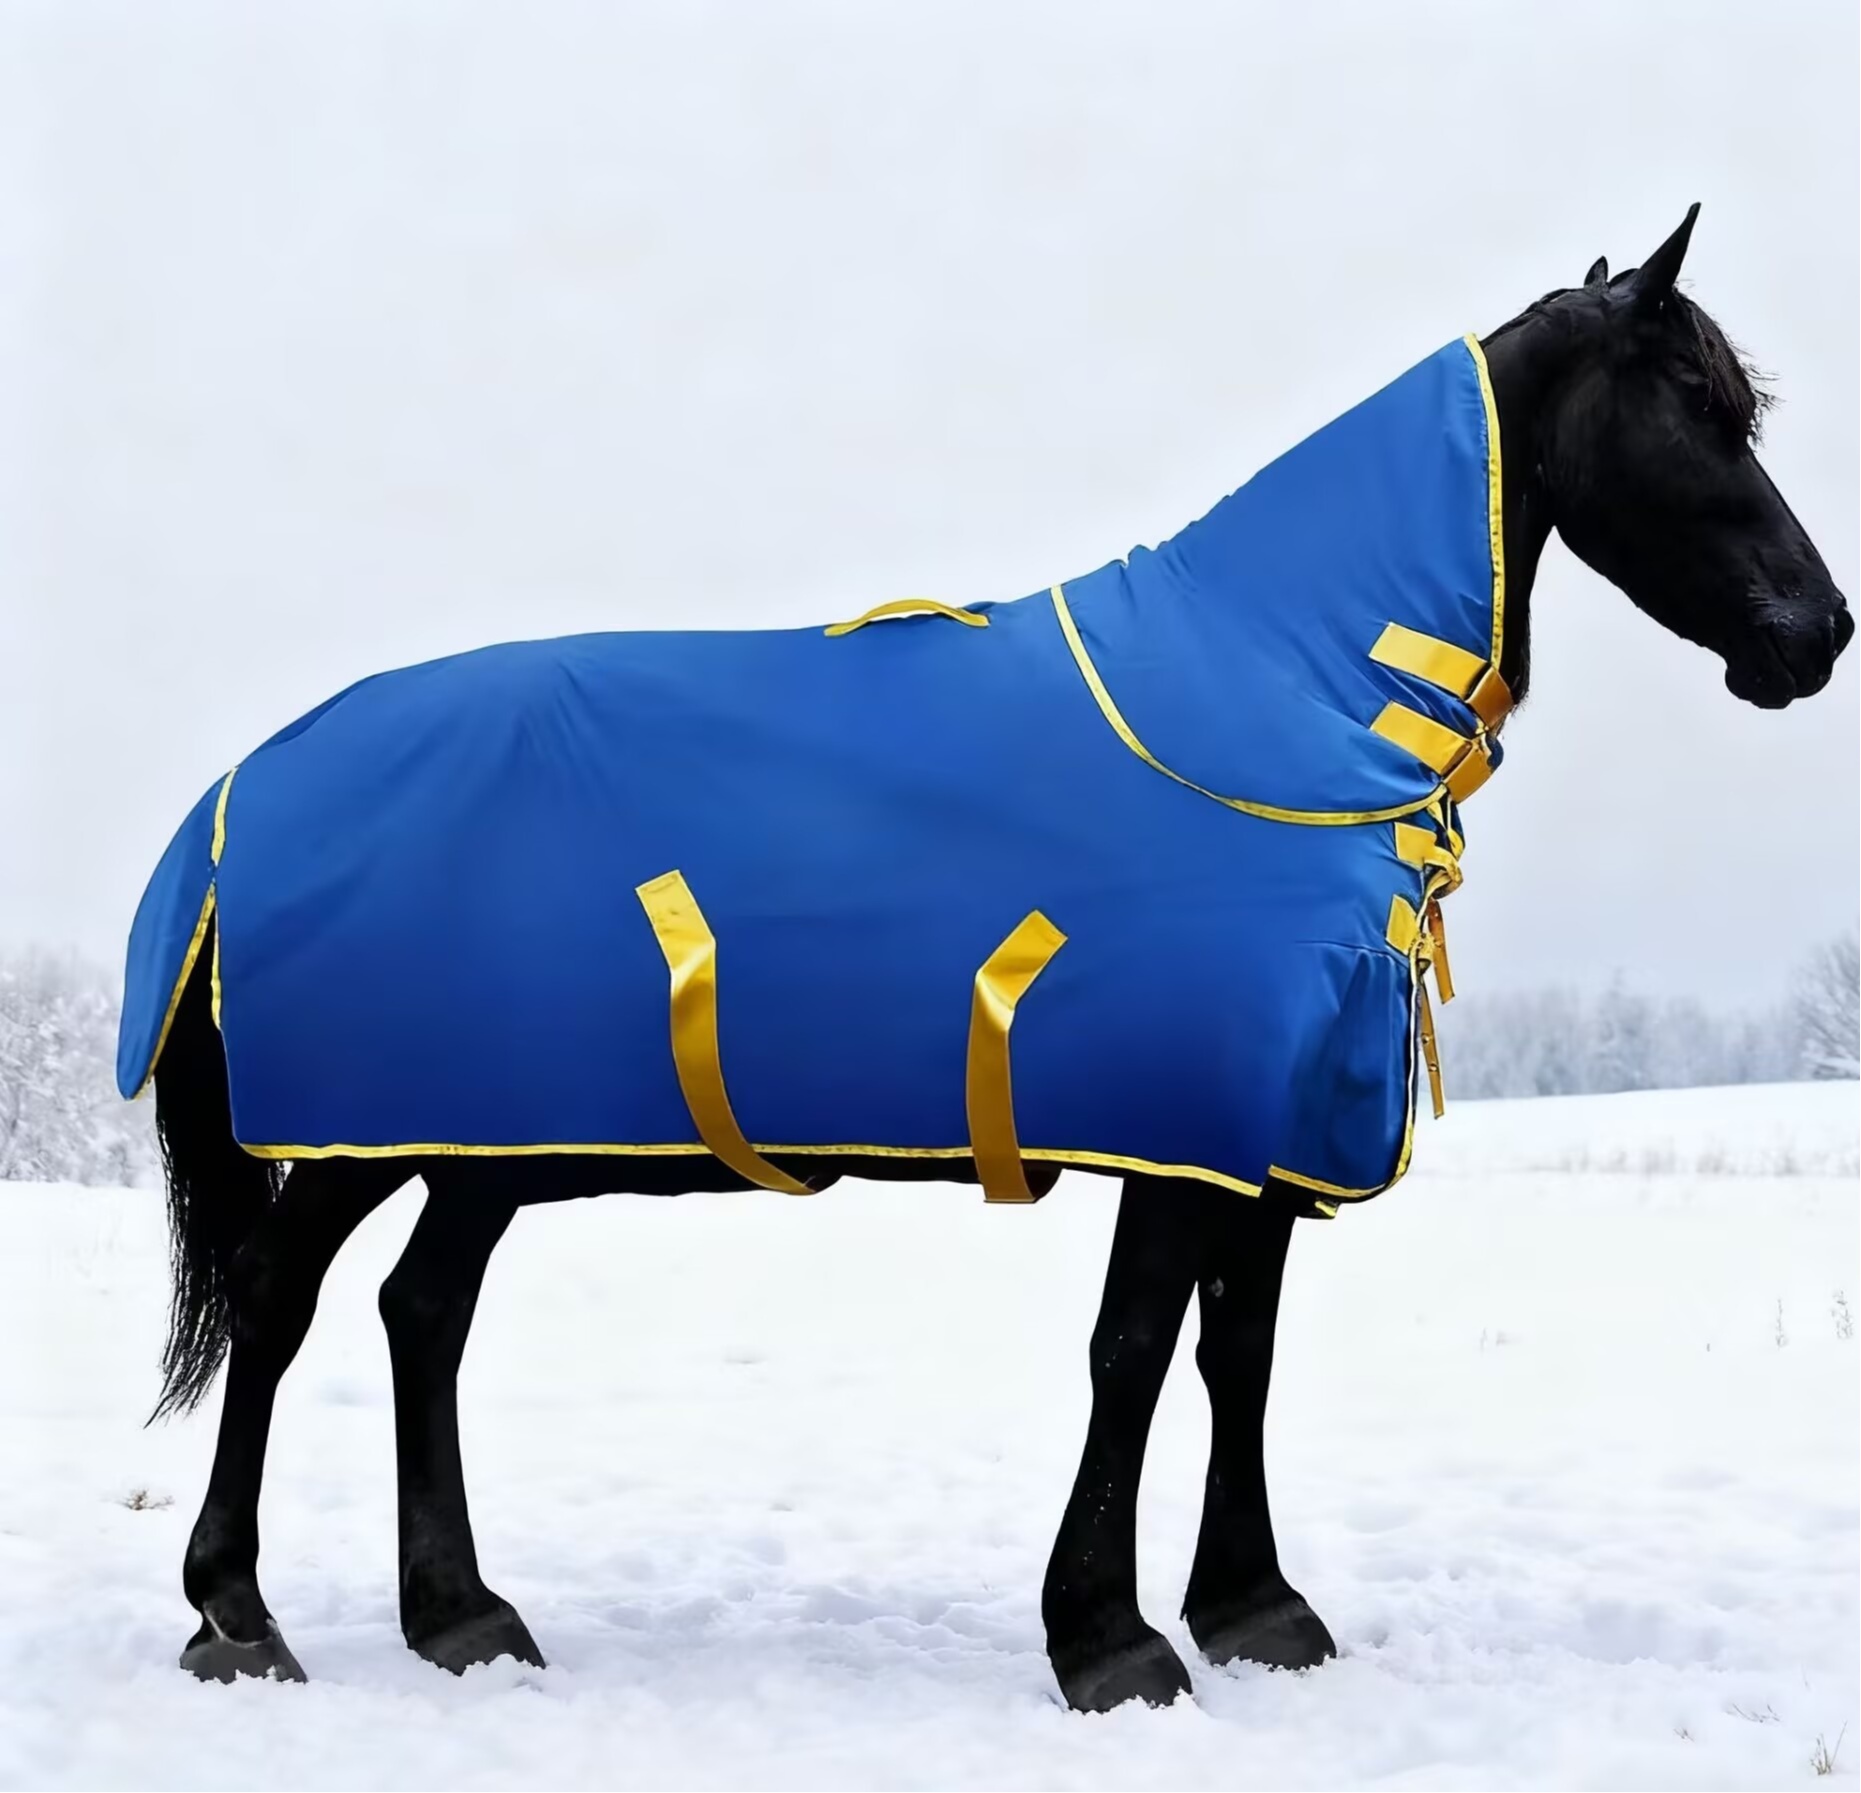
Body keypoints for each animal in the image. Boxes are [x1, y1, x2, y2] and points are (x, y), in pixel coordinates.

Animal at [137, 207, 1850, 1713]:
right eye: (1696, 407)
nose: (1816, 632)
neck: (1272, 698)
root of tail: (243, 787)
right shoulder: (1188, 1126)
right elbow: (1136, 1351)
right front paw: (1109, 1640)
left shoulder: (1262, 1129)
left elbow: (1239, 1354)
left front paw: (1254, 1608)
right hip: (363, 1123)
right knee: (283, 1302)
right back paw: (238, 1614)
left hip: (478, 1136)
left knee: (420, 1313)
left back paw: (462, 1617)